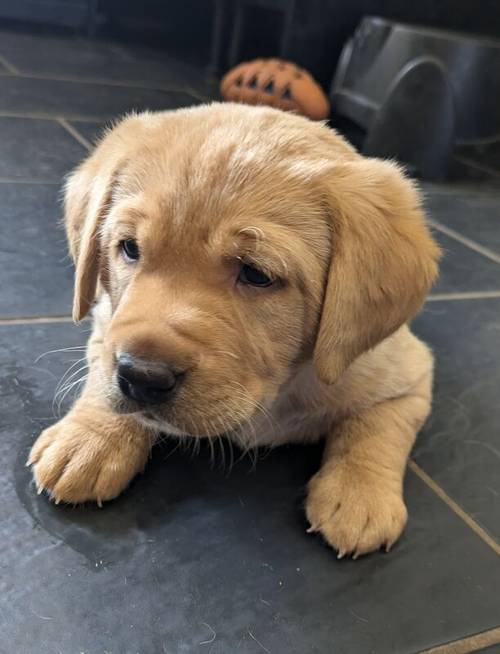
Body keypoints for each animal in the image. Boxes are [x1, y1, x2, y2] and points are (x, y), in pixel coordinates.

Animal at [29, 101, 440, 560]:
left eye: (257, 275)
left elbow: (377, 425)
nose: (142, 377)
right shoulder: (105, 319)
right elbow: (101, 371)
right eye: (130, 248)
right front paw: (90, 441)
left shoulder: (408, 374)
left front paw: (358, 494)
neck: (278, 389)